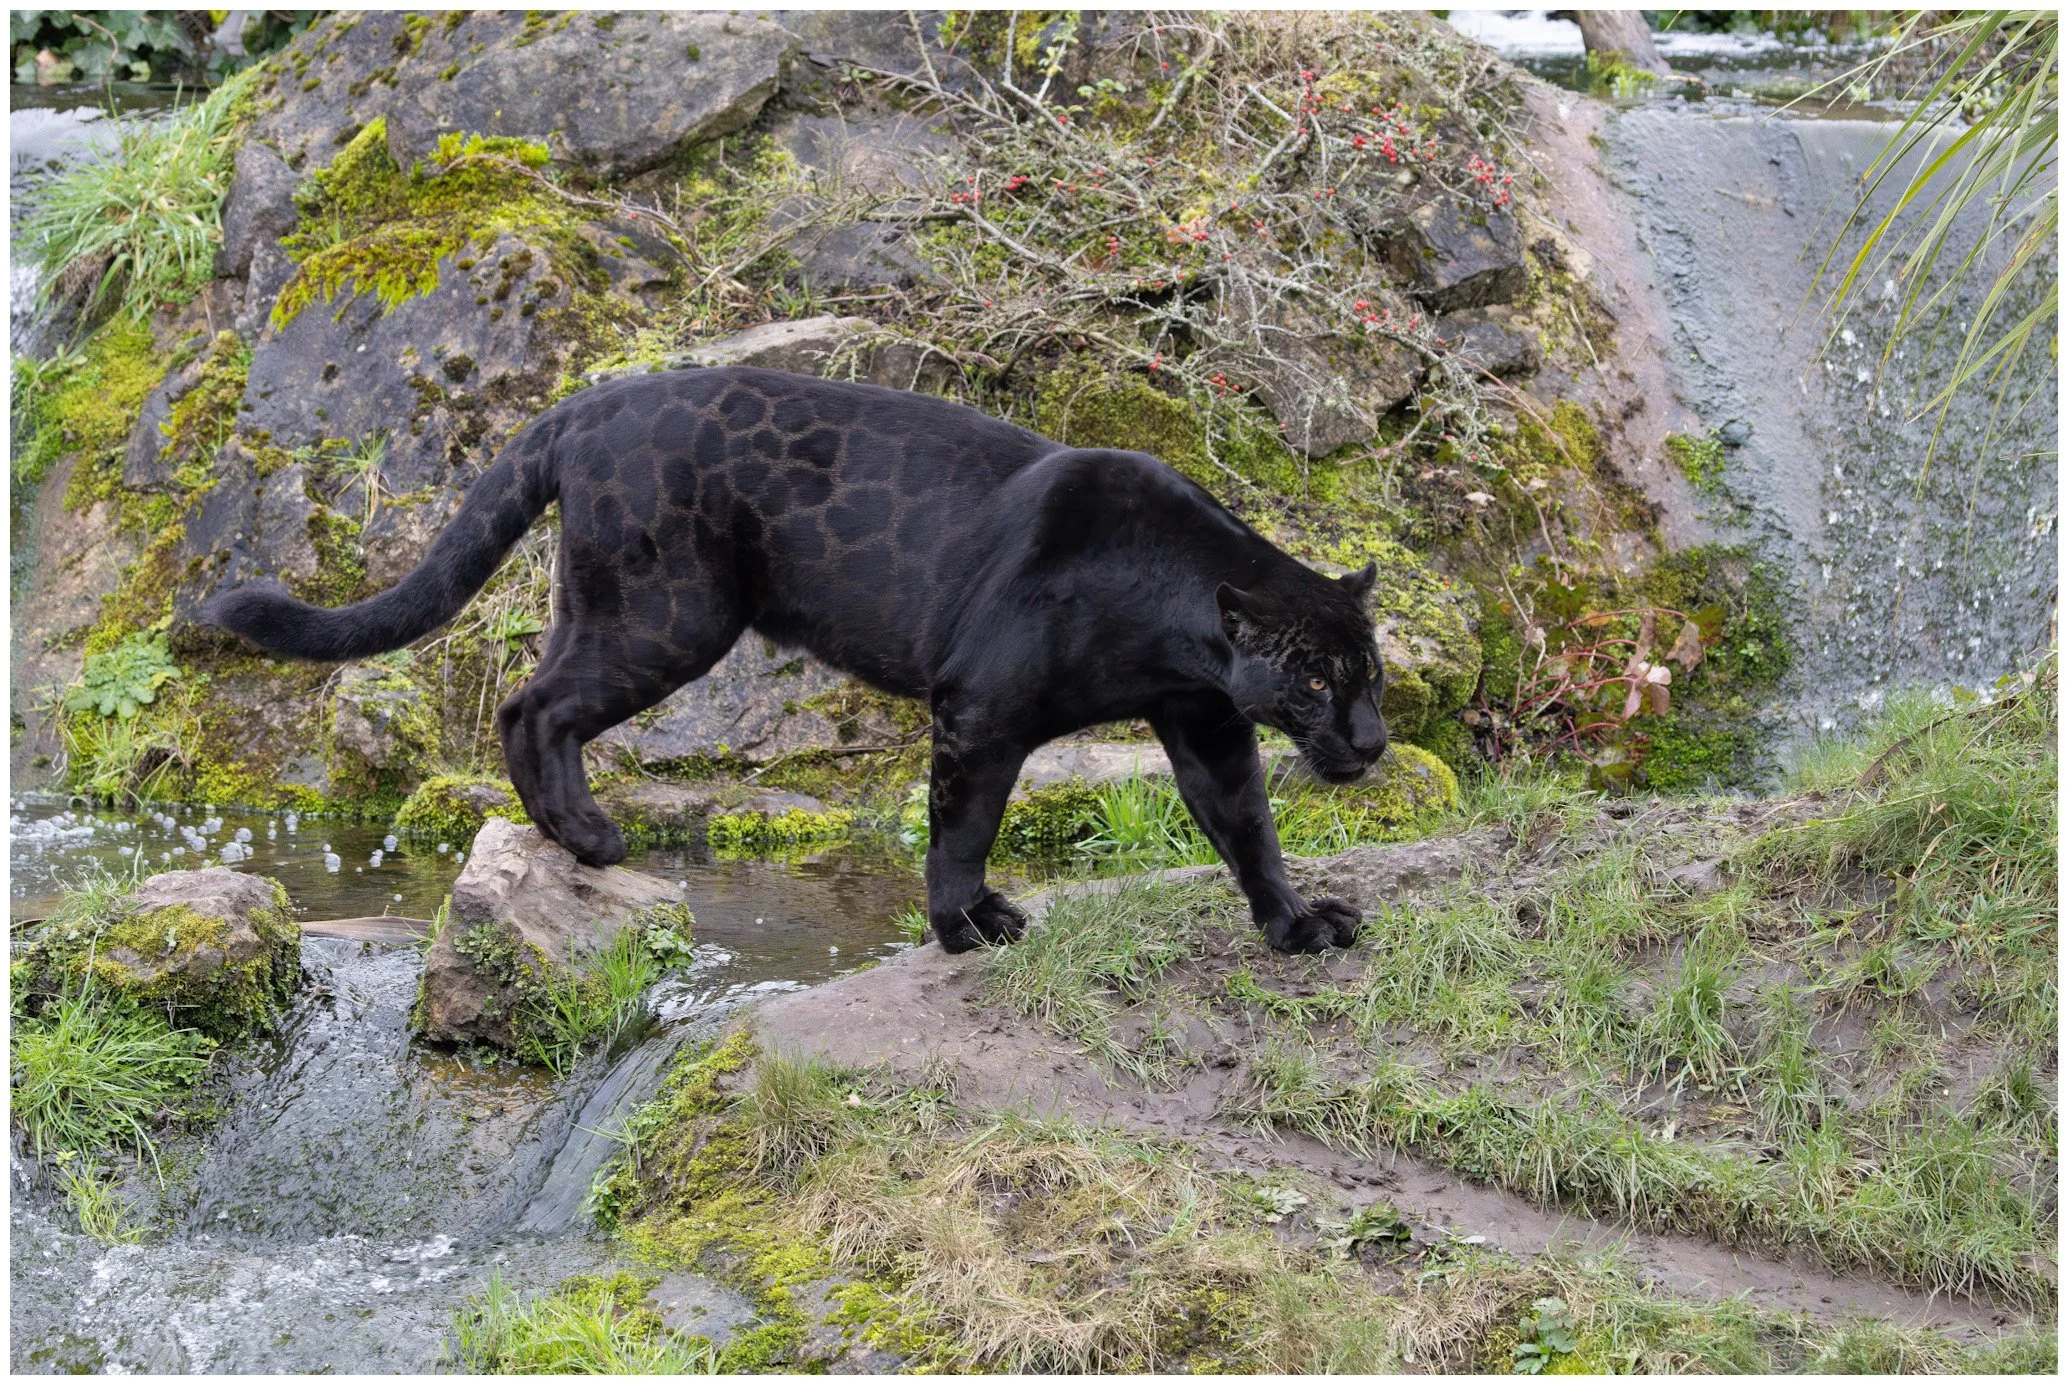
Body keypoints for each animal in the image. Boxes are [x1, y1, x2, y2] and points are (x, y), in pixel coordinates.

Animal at [205, 366, 1390, 953]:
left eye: (1368, 678)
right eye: (1316, 680)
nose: (1374, 744)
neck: (1174, 617)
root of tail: (582, 405)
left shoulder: (1208, 723)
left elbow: (1245, 828)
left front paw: (1298, 926)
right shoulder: (979, 708)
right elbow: (961, 826)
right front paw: (967, 926)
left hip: (626, 609)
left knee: (534, 698)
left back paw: (570, 834)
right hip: (668, 614)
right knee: (531, 704)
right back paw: (588, 839)